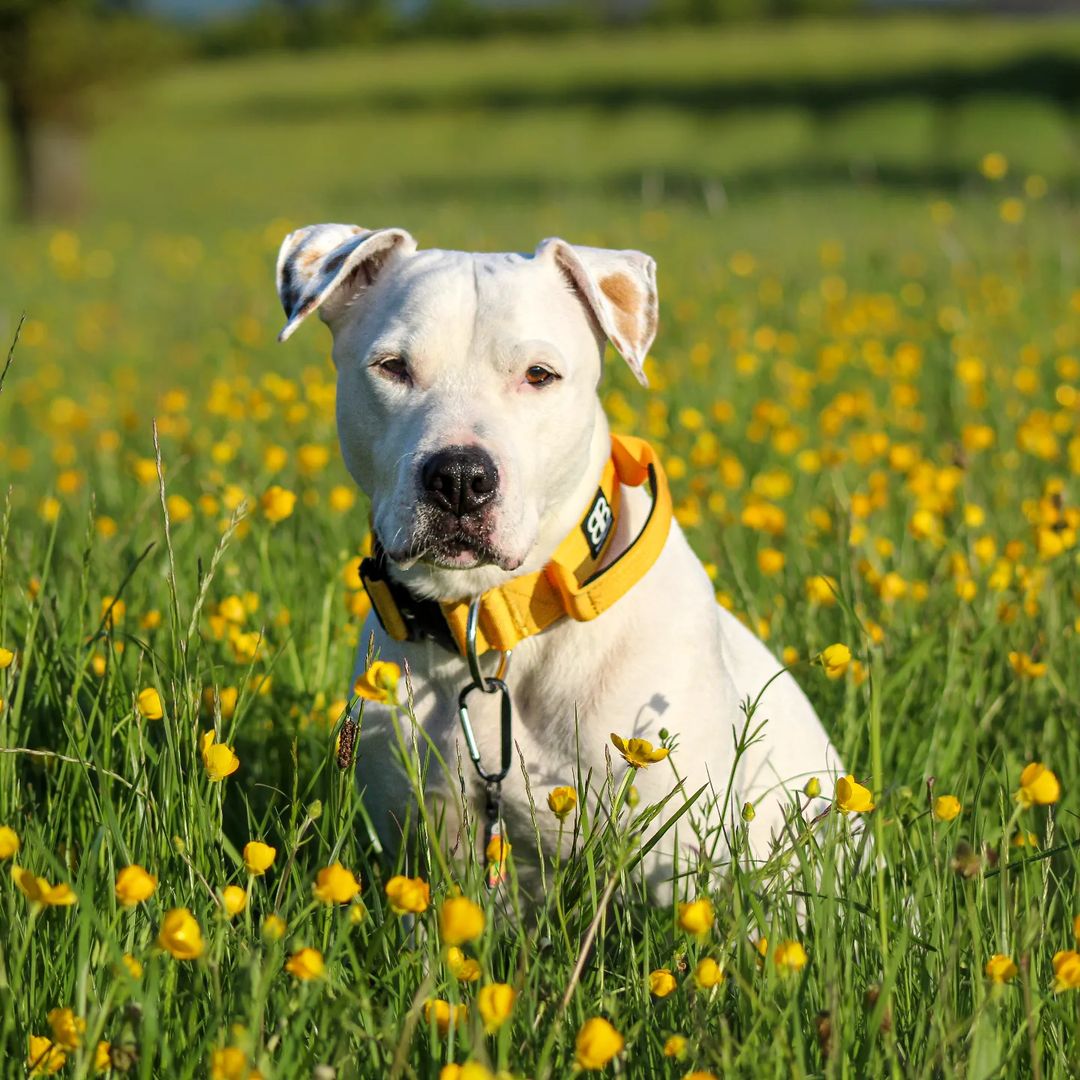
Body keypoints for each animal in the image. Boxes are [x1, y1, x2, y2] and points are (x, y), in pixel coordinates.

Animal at [274, 223, 838, 898]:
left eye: (539, 375)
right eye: (393, 368)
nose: (459, 479)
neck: (490, 621)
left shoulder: (679, 867)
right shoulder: (433, 849)